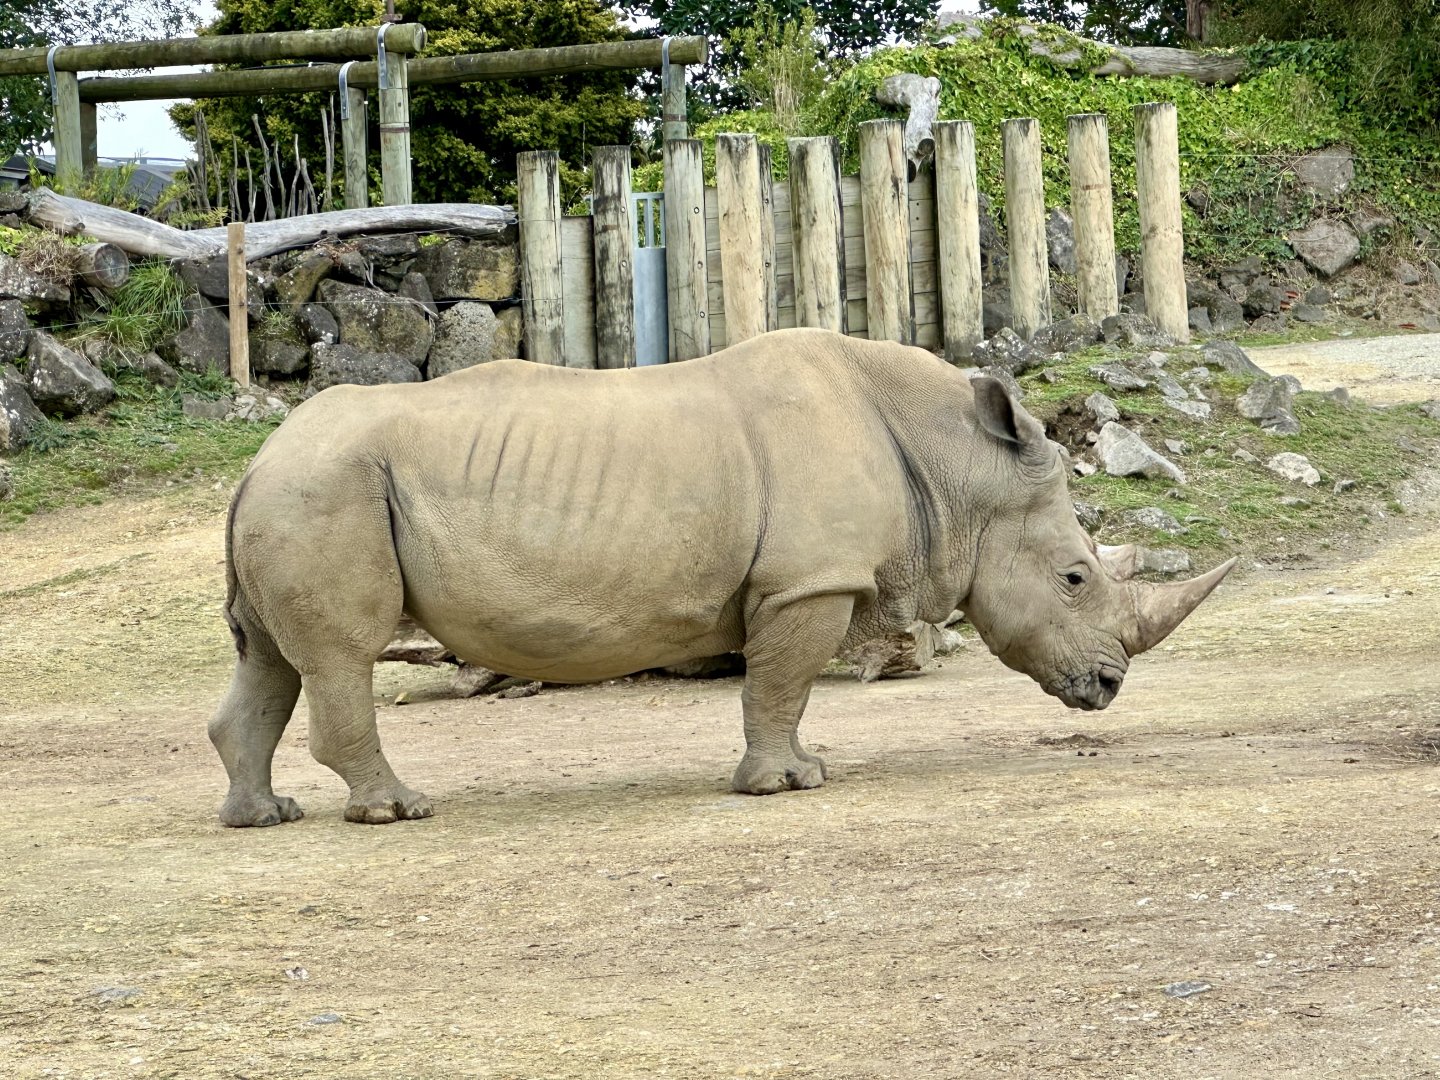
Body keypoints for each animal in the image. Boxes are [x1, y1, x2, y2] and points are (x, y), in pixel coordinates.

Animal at [209, 328, 1233, 827]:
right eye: (1074, 578)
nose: (1109, 686)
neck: (958, 466)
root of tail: (255, 460)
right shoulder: (806, 583)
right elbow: (781, 685)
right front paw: (789, 786)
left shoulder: (800, 582)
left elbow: (779, 686)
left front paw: (798, 774)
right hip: (325, 492)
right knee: (340, 656)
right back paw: (396, 811)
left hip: (299, 491)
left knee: (269, 659)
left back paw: (265, 817)